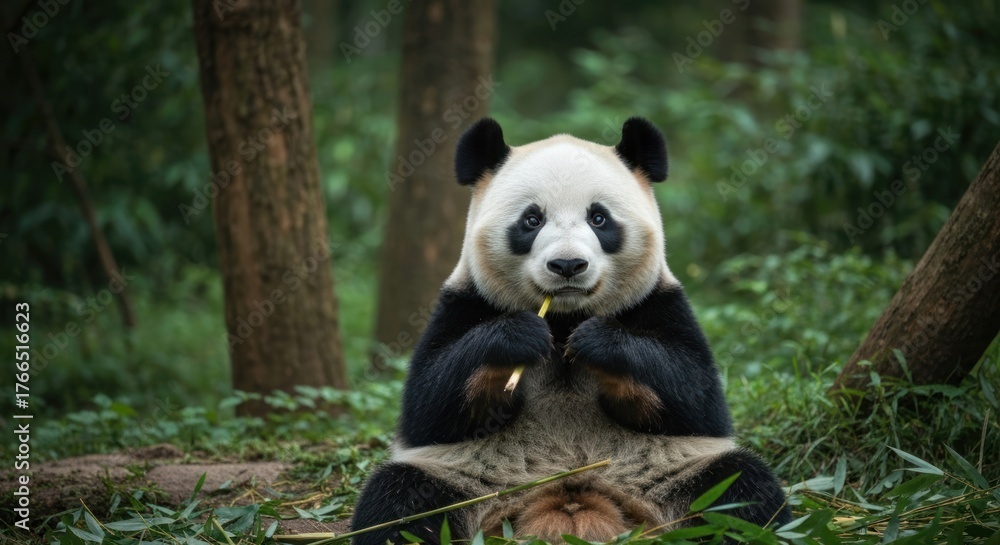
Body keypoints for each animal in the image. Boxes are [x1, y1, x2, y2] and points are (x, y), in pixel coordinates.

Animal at [352, 117, 790, 544]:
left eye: (599, 218)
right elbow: (430, 404)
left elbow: (694, 396)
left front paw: (599, 344)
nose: (567, 265)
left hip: (671, 473)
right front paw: (517, 339)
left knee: (741, 491)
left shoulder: (661, 303)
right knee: (401, 501)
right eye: (532, 220)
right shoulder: (464, 302)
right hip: (465, 480)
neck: (564, 317)